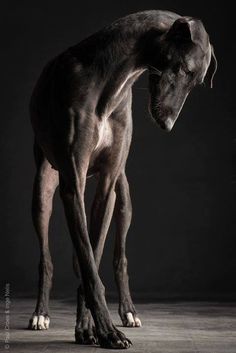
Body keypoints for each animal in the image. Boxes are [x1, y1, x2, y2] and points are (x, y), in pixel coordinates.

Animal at [28, 9, 217, 348]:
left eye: (196, 81)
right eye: (183, 68)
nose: (168, 124)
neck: (111, 81)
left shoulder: (106, 185)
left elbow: (93, 257)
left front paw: (88, 328)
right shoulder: (72, 182)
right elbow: (88, 267)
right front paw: (105, 331)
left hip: (124, 197)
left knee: (118, 257)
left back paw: (128, 311)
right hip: (43, 187)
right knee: (46, 258)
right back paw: (41, 314)